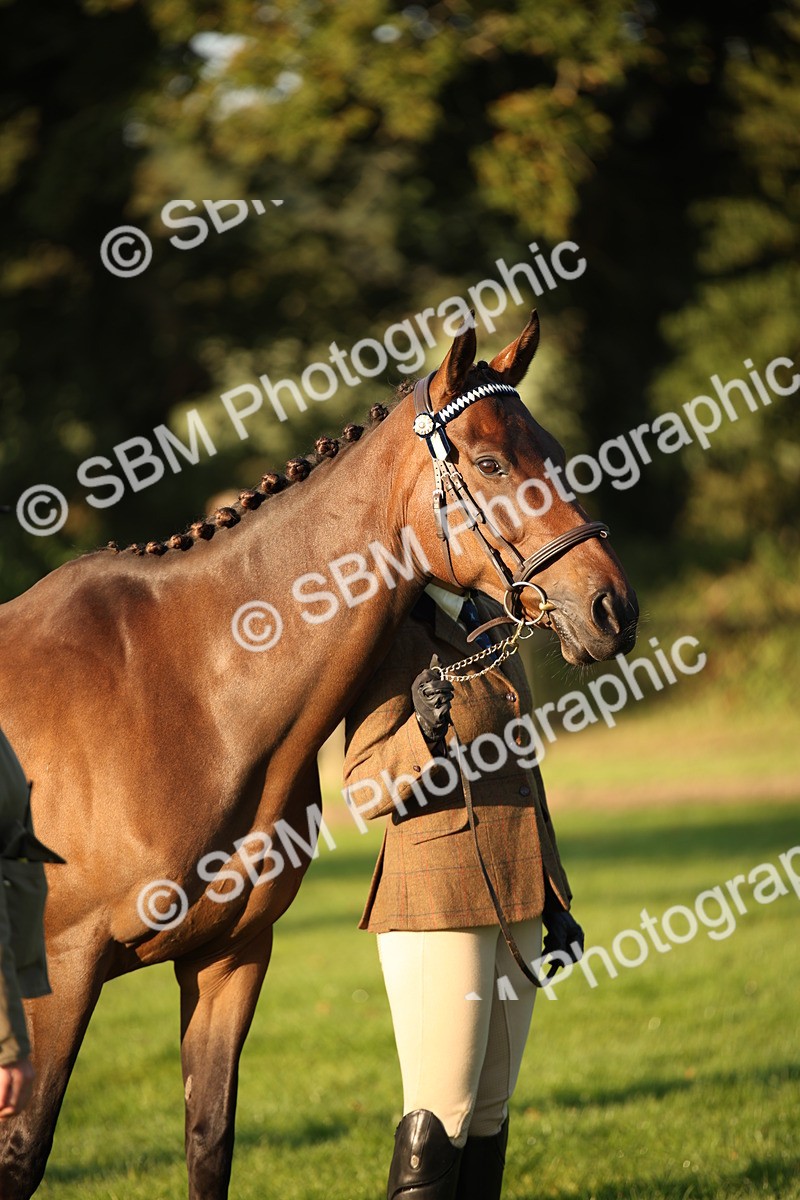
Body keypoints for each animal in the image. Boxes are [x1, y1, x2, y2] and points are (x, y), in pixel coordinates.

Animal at [0, 312, 637, 1198]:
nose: (614, 607)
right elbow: (24, 1150)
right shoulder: (56, 975)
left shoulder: (229, 957)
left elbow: (209, 1139)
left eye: (552, 448)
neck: (179, 691)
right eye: (490, 463)